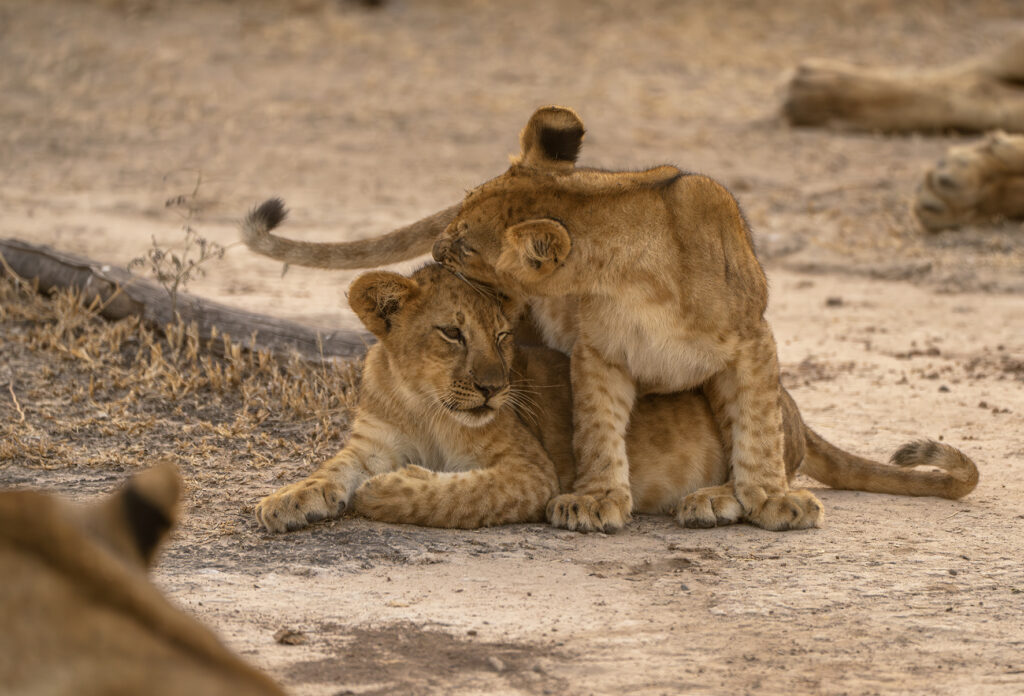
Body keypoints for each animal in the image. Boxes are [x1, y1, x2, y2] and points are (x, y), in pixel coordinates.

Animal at [254, 264, 977, 534]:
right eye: (451, 333)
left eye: (503, 335)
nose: (492, 386)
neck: (420, 400)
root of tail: (799, 407)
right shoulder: (369, 441)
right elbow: (328, 470)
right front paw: (284, 501)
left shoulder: (530, 471)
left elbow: (455, 494)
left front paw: (388, 492)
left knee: (769, 467)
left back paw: (712, 501)